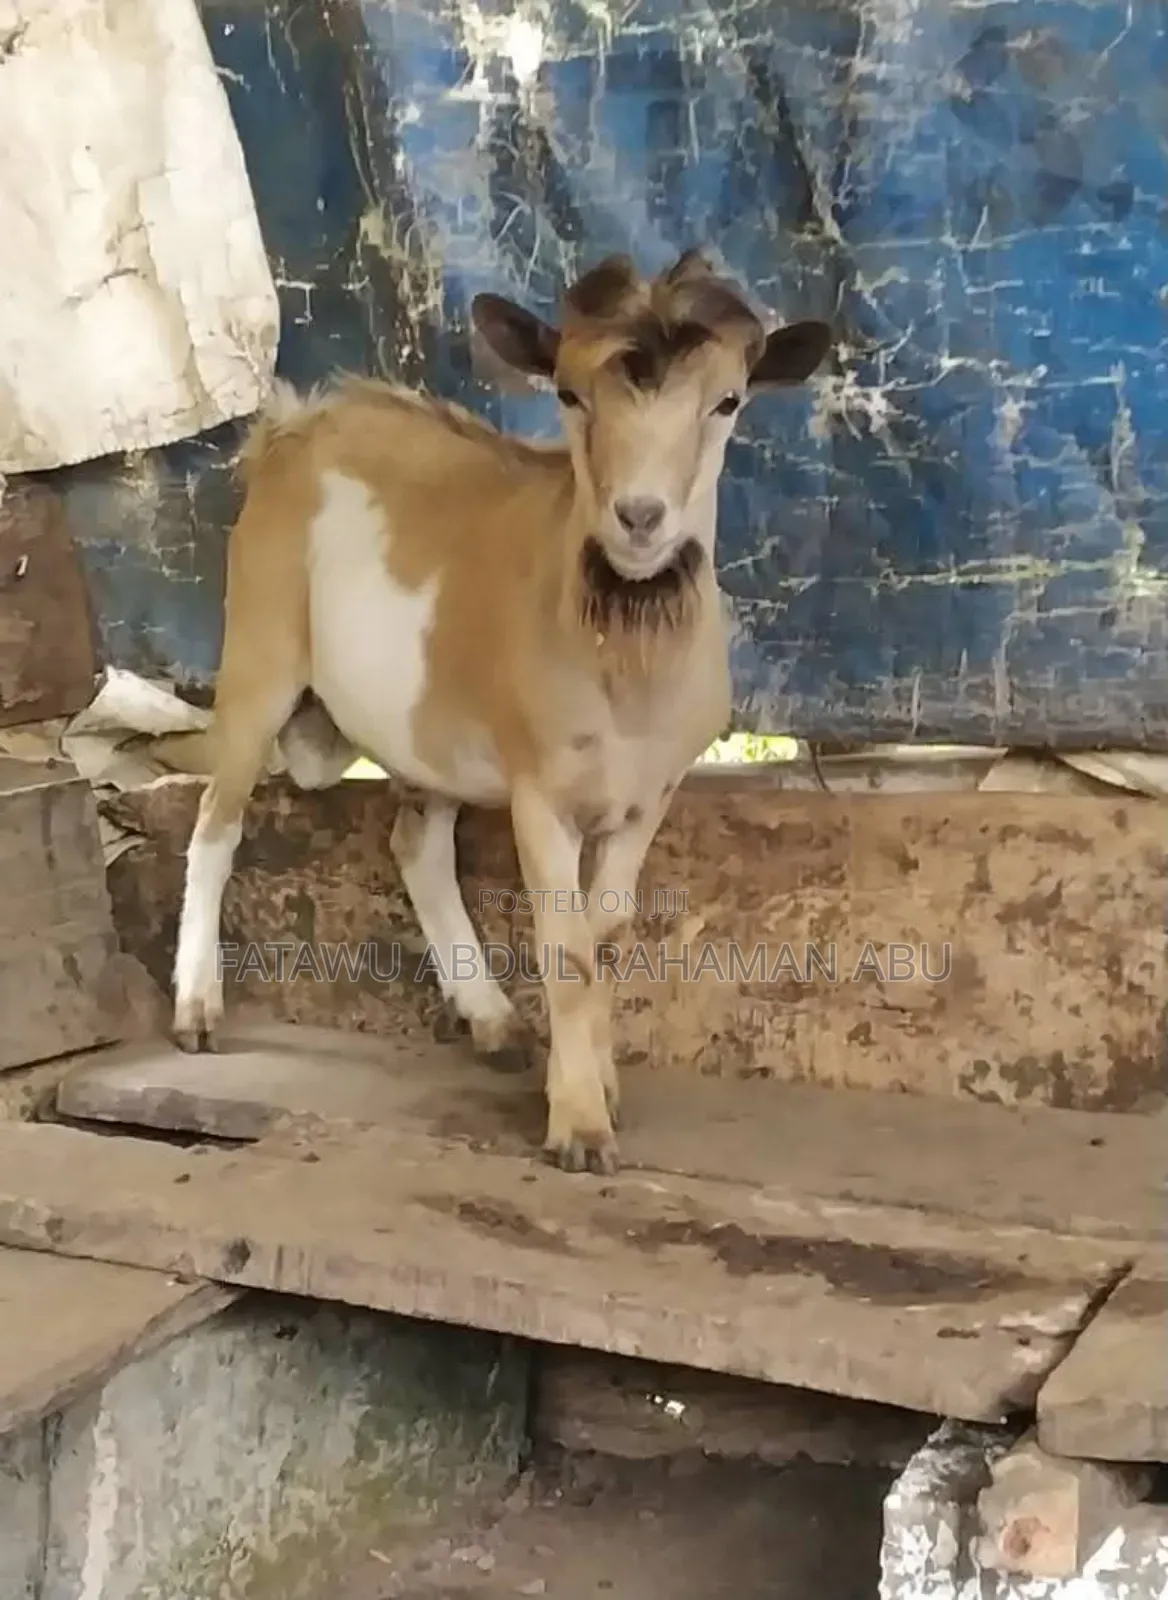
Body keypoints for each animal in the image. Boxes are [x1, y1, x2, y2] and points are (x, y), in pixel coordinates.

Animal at [171, 248, 832, 1175]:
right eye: (569, 394)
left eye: (728, 401)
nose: (639, 519)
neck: (622, 666)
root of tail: (296, 424)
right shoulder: (539, 791)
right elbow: (566, 947)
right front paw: (580, 1127)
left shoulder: (649, 797)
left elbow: (605, 936)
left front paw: (589, 1083)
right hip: (259, 650)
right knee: (216, 819)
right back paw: (196, 1010)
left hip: (428, 731)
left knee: (414, 844)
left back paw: (489, 1019)